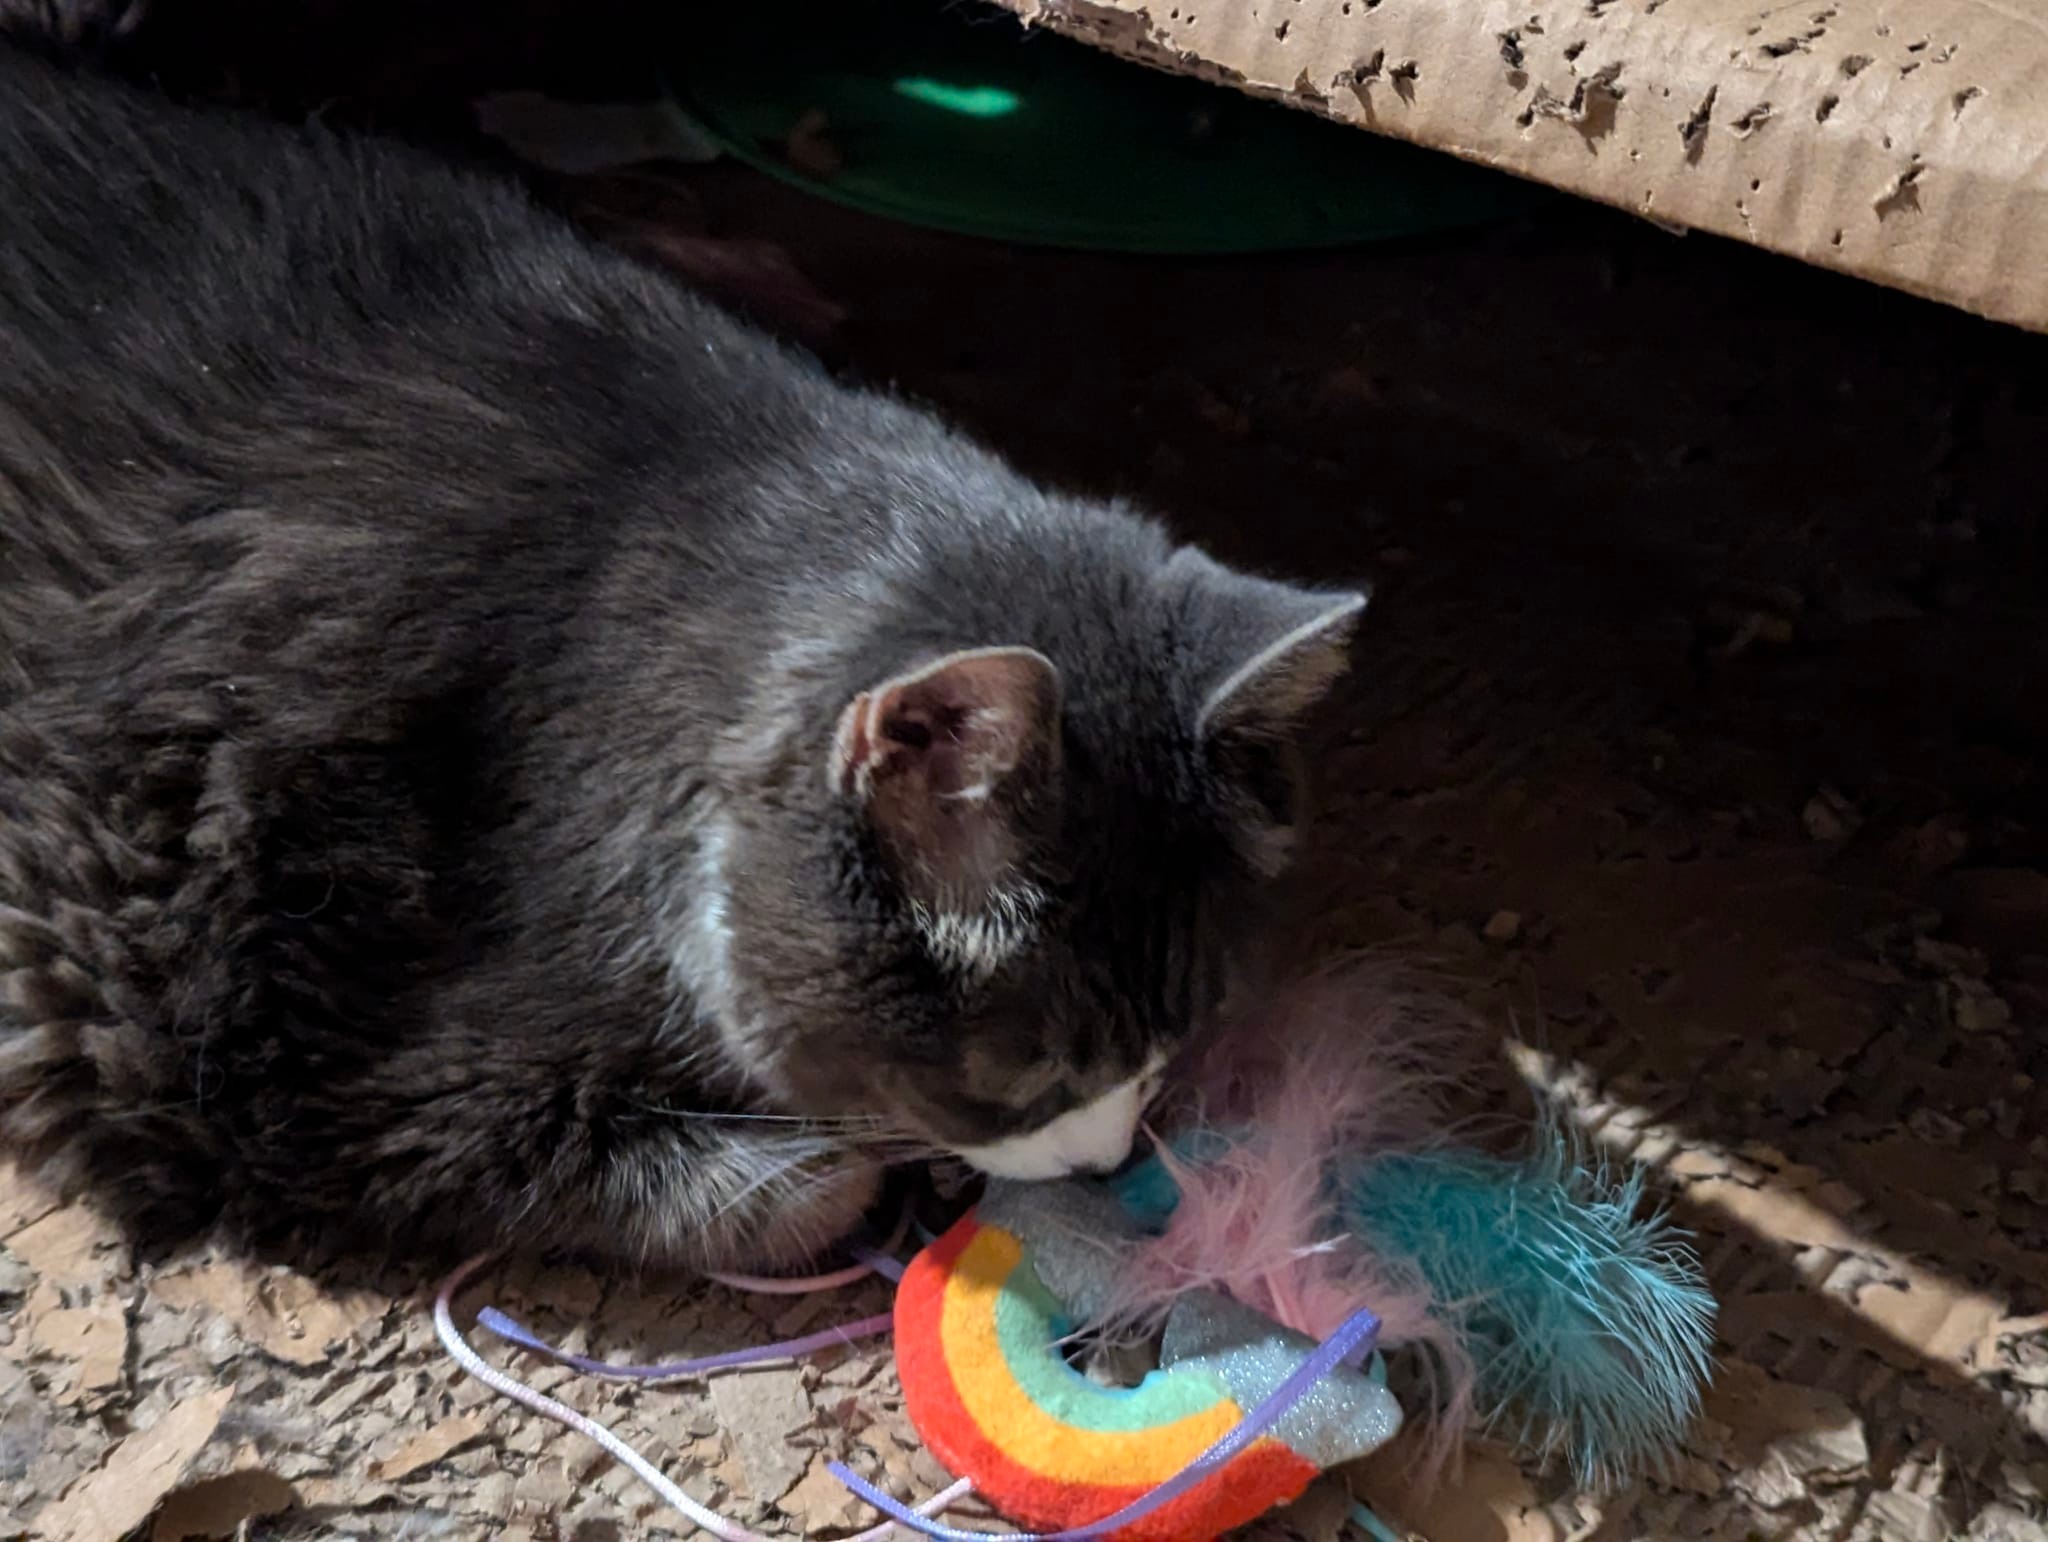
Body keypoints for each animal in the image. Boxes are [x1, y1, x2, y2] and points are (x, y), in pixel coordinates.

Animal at [0, 9, 1368, 1273]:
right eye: (1025, 1075)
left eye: (1180, 1030)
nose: (1109, 1159)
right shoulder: (269, 1057)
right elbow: (782, 1188)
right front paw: (847, 1165)